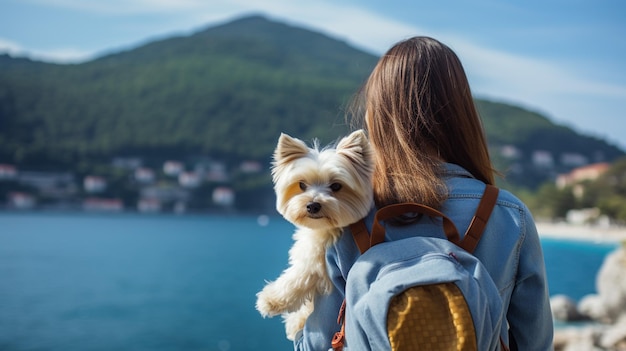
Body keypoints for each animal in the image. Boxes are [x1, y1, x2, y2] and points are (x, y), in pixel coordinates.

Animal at [254, 130, 370, 340]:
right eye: (301, 185)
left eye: (336, 186)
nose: (313, 205)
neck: (323, 228)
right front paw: (295, 321)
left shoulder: (318, 257)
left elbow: (298, 276)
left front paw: (270, 300)